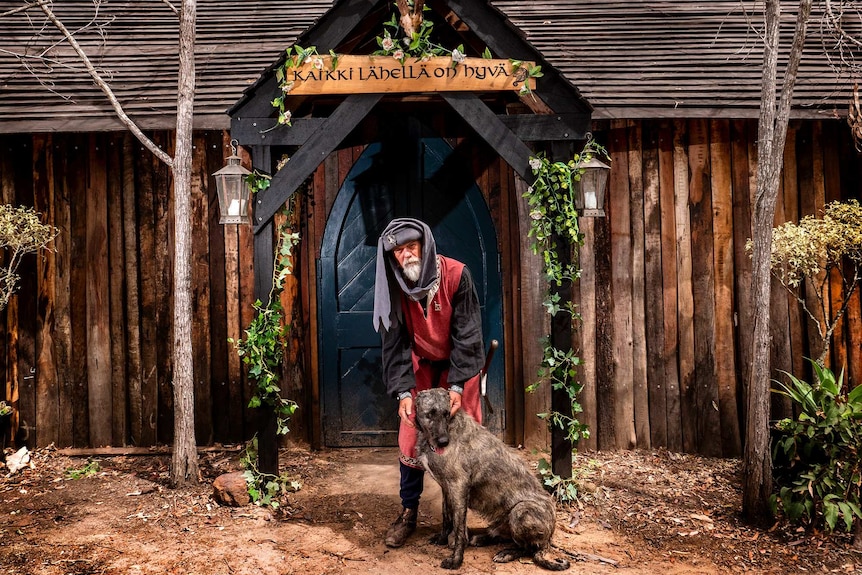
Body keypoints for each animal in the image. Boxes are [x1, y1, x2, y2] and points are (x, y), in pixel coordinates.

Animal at [416, 388, 572, 572]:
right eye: (430, 414)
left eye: (447, 413)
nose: (443, 442)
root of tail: (549, 537)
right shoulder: (446, 488)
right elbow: (447, 518)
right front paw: (442, 539)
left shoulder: (458, 486)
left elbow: (459, 529)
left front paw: (456, 560)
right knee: (505, 536)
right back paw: (481, 538)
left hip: (521, 510)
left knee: (529, 548)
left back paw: (506, 553)